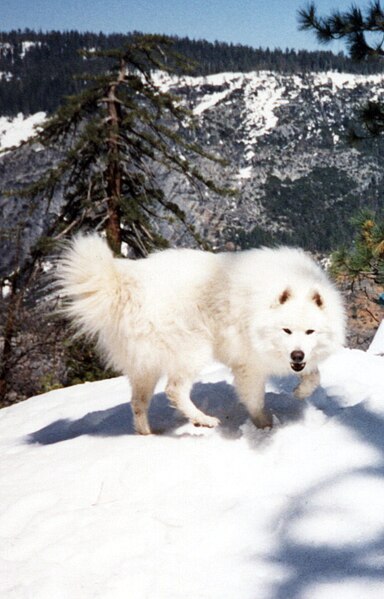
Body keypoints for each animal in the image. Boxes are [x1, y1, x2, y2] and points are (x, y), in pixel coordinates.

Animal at [57, 236, 344, 436]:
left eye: (310, 331)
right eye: (286, 330)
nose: (297, 355)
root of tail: (125, 286)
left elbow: (314, 376)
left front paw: (301, 392)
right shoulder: (249, 366)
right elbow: (255, 402)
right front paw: (266, 428)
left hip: (146, 367)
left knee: (138, 402)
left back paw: (147, 433)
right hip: (193, 349)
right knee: (174, 390)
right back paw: (203, 420)